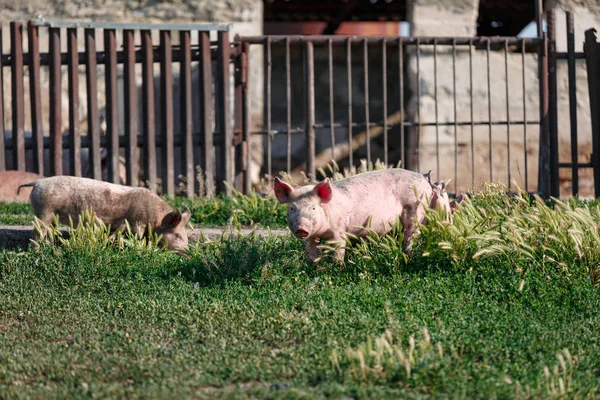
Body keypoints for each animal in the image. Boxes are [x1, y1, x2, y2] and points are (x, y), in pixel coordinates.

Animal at [17, 175, 190, 250]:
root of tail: (38, 182)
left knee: (48, 232)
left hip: (52, 215)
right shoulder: (136, 223)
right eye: (178, 235)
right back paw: (37, 251)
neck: (156, 218)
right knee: (37, 233)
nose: (188, 250)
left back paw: (51, 249)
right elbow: (135, 237)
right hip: (44, 211)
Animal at [274, 168, 450, 262]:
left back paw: (408, 256)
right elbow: (312, 252)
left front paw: (337, 268)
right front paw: (314, 267)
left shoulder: (339, 231)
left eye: (313, 208)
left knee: (410, 236)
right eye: (292, 208)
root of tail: (423, 178)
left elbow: (339, 250)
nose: (301, 228)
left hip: (415, 211)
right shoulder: (311, 237)